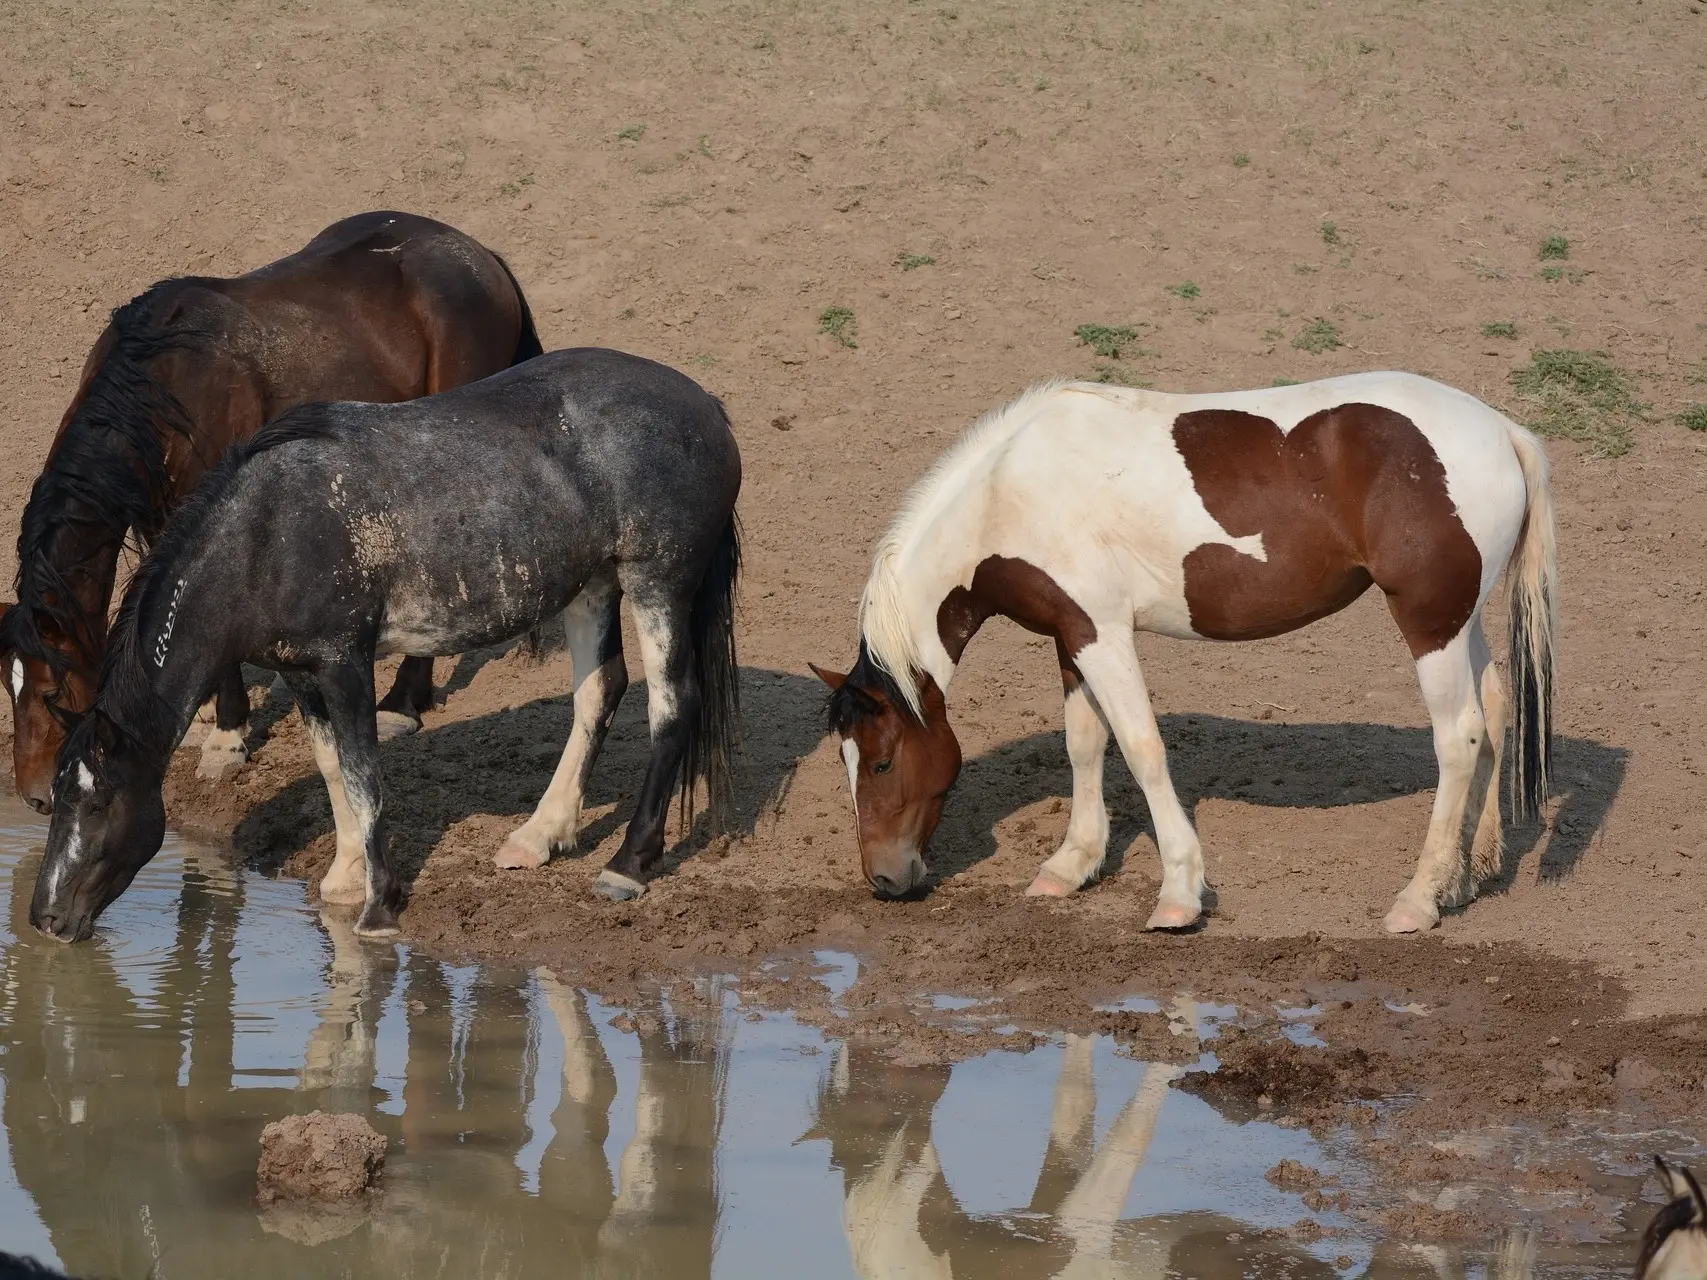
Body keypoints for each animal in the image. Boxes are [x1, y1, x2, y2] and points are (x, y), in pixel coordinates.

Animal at [0, 209, 539, 812]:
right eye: (8, 686)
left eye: (50, 690)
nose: (35, 796)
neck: (166, 382)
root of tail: (481, 257)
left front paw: (227, 736)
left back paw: (403, 702)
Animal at [24, 348, 734, 942]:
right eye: (58, 799)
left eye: (98, 802)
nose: (46, 919)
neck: (265, 535)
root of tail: (707, 408)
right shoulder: (302, 672)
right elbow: (333, 765)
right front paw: (343, 880)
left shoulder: (346, 663)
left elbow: (366, 776)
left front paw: (378, 905)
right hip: (593, 587)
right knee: (599, 692)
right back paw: (538, 837)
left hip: (657, 582)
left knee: (672, 708)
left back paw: (628, 866)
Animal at [815, 375, 1563, 935]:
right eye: (846, 761)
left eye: (881, 762)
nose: (885, 879)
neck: (1009, 492)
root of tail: (1502, 431)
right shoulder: (1071, 634)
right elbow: (1085, 744)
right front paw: (1071, 865)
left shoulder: (1104, 632)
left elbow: (1142, 748)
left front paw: (1177, 893)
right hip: (1458, 621)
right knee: (1494, 709)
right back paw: (1466, 877)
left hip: (1428, 623)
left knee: (1458, 737)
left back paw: (1418, 899)